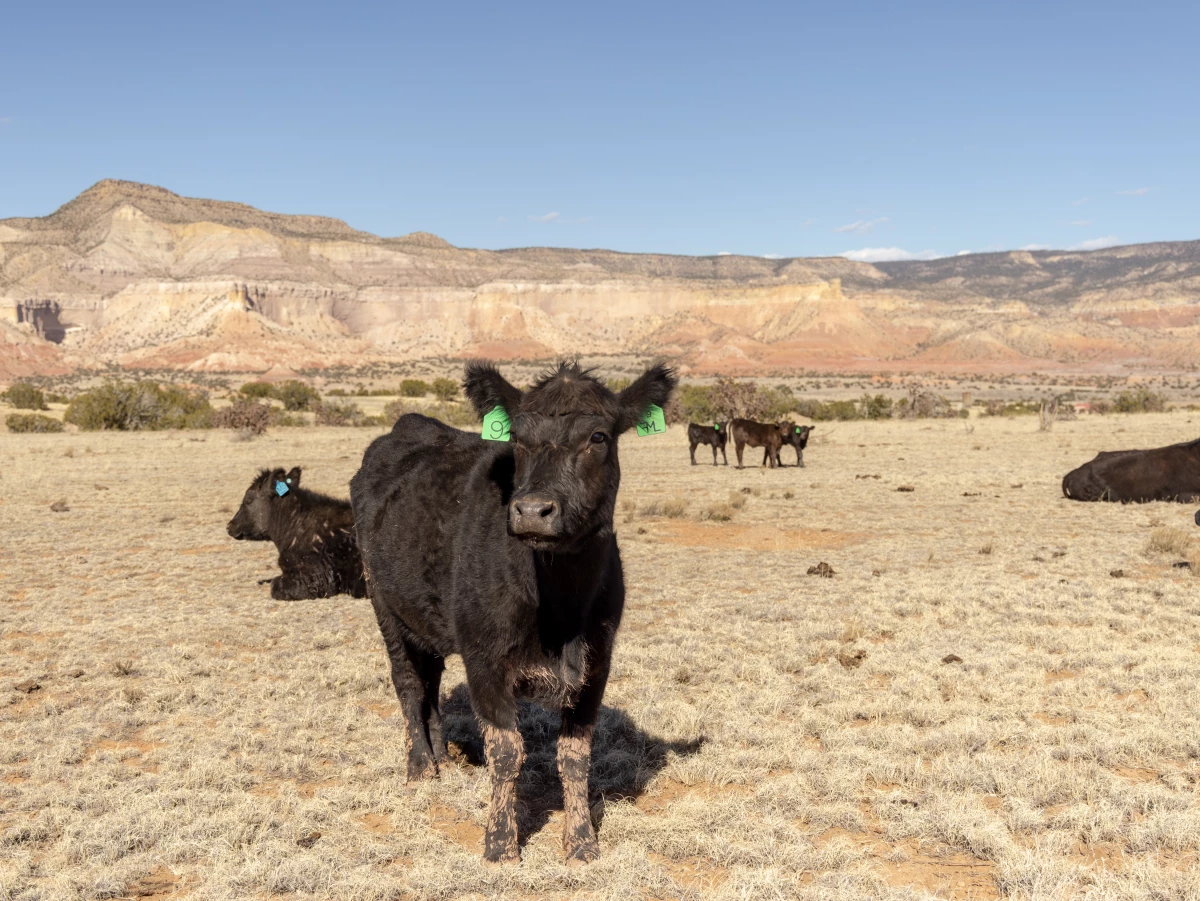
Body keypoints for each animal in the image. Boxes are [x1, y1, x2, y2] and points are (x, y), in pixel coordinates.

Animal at [350, 360, 676, 865]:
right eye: (518, 438)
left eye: (598, 436)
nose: (532, 510)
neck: (559, 608)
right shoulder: (484, 661)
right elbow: (506, 752)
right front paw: (501, 845)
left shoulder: (597, 664)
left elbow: (575, 756)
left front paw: (581, 842)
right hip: (384, 605)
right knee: (408, 683)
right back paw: (420, 767)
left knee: (431, 681)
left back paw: (444, 757)